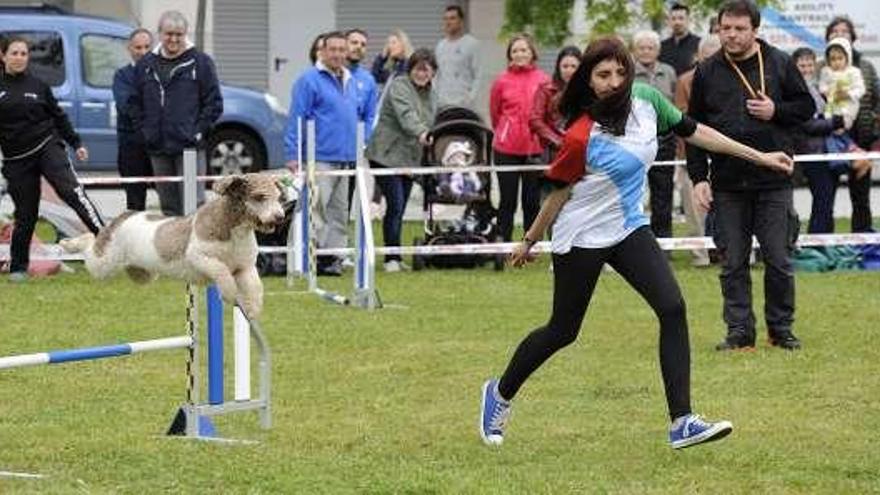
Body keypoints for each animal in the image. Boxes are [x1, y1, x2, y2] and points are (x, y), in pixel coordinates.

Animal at [62, 174, 288, 322]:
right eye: (260, 197)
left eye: (279, 197)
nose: (280, 217)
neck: (234, 229)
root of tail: (123, 216)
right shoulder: (200, 257)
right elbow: (221, 271)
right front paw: (229, 293)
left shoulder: (244, 267)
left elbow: (256, 286)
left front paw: (253, 310)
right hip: (104, 263)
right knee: (90, 244)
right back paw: (69, 244)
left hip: (143, 274)